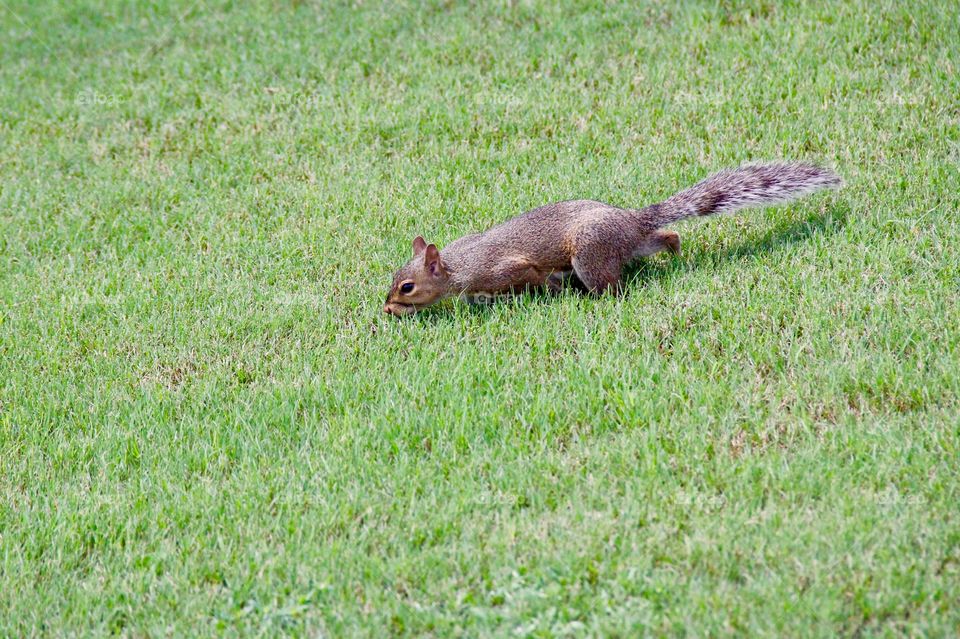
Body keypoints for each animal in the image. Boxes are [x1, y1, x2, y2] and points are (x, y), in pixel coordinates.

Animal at [382, 162, 840, 318]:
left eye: (407, 287)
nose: (386, 309)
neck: (458, 262)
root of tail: (631, 219)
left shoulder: (503, 267)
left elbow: (531, 276)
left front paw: (546, 290)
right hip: (632, 243)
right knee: (664, 236)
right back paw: (675, 251)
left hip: (590, 254)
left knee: (613, 284)